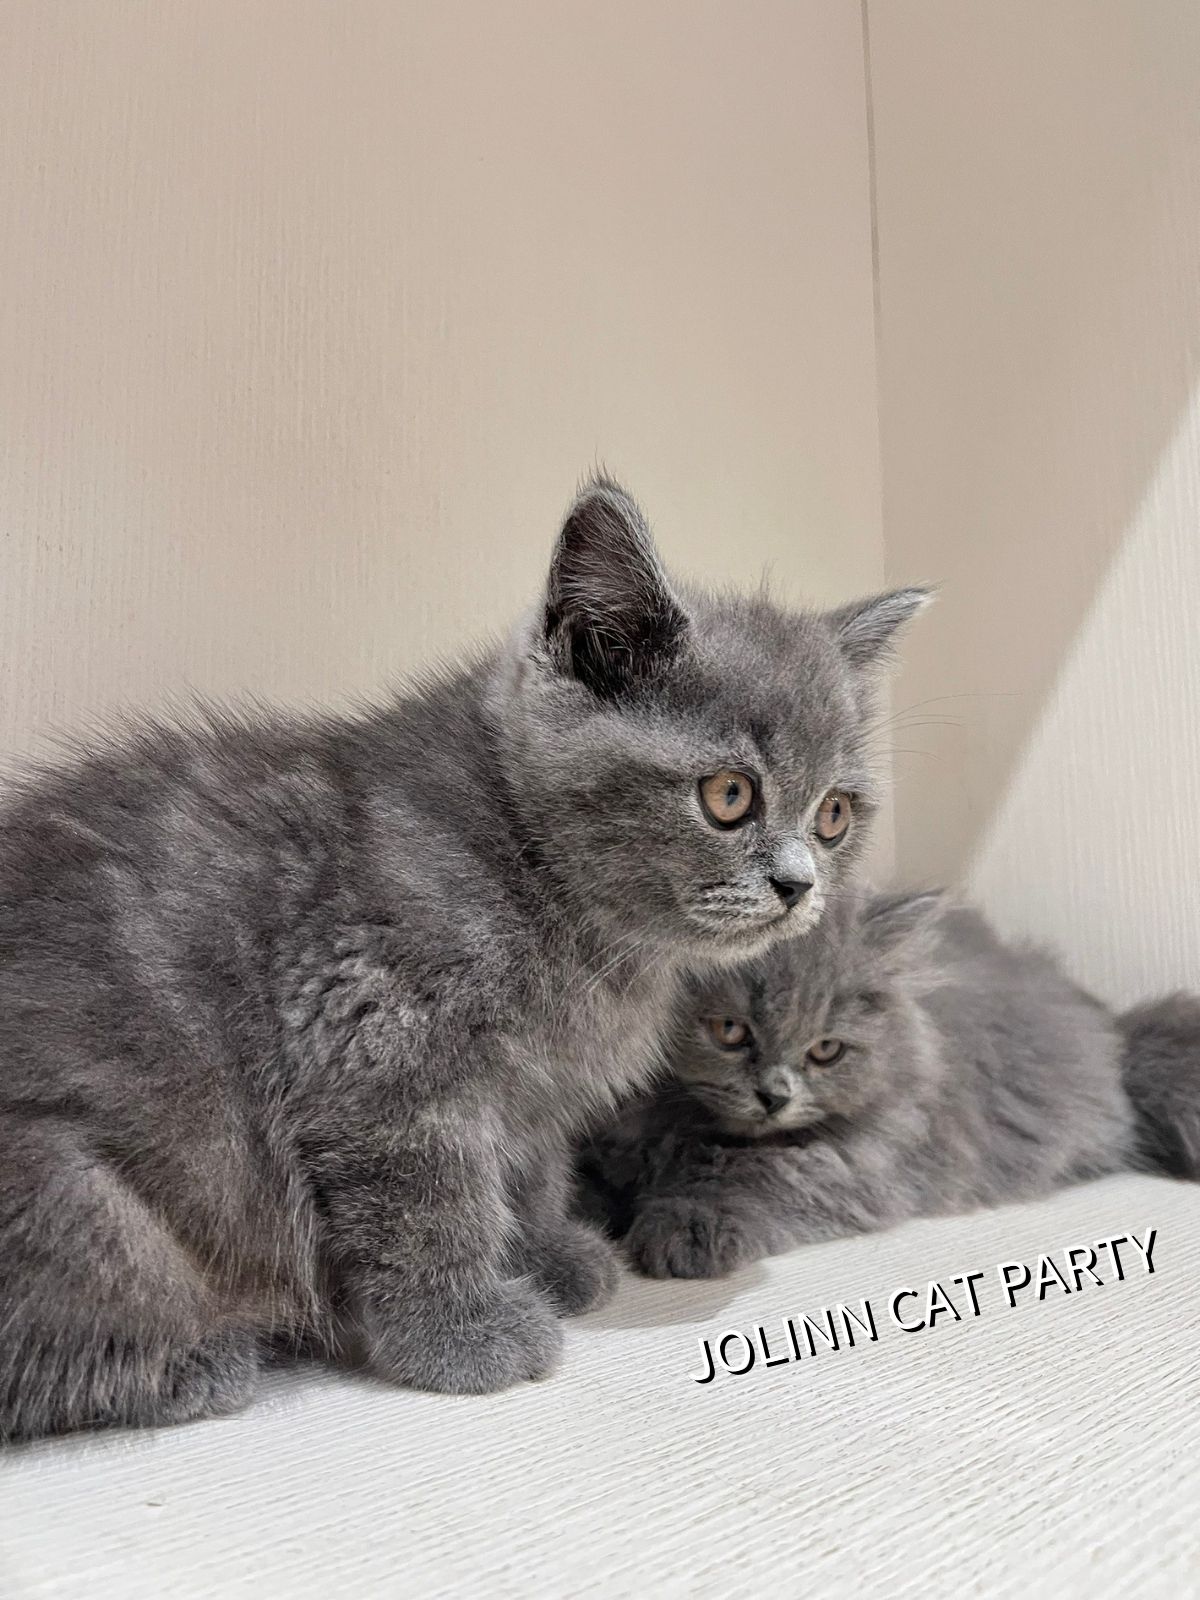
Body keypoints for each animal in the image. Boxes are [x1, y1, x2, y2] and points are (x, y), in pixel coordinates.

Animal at [0, 475, 929, 1439]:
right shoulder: (372, 1040)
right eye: (730, 795)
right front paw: (466, 1330)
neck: (553, 892)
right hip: (87, 1199)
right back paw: (197, 1360)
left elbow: (531, 1169)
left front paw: (548, 1255)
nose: (798, 884)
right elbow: (427, 1206)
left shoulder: (534, 1089)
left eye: (834, 815)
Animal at [579, 889, 1157, 1280]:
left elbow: (751, 1182)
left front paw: (685, 1232)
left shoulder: (853, 1169)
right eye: (729, 1030)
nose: (774, 1096)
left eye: (825, 1051)